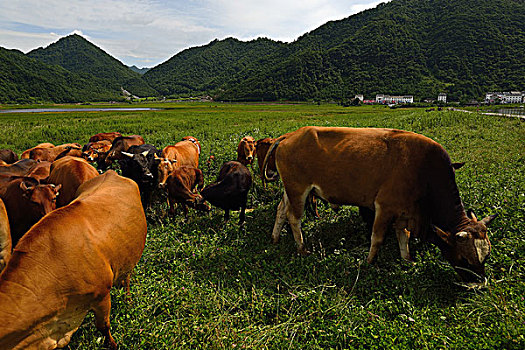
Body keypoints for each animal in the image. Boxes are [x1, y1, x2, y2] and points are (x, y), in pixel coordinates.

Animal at [266, 127, 496, 284]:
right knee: (294, 218)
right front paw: (369, 262)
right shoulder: (384, 208)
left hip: (290, 191)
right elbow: (376, 238)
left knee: (281, 211)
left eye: (486, 256)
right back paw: (302, 248)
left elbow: (403, 236)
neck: (423, 169)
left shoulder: (403, 211)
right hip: (298, 191)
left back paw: (275, 238)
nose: (479, 284)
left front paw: (407, 259)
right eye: (464, 258)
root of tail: (289, 136)